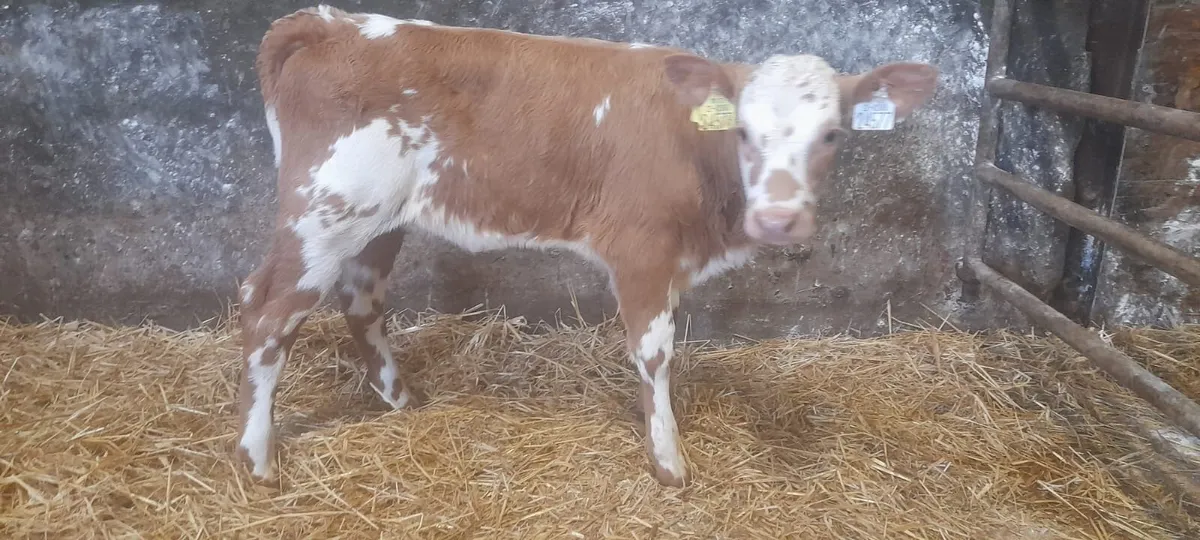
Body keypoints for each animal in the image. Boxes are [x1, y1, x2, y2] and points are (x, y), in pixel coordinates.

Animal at [235, 4, 938, 488]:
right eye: (742, 130)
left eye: (832, 135)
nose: (779, 218)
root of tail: (335, 23)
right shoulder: (642, 248)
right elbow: (655, 351)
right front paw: (667, 460)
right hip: (325, 210)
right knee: (266, 311)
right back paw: (256, 459)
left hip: (379, 219)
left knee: (361, 300)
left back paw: (402, 403)